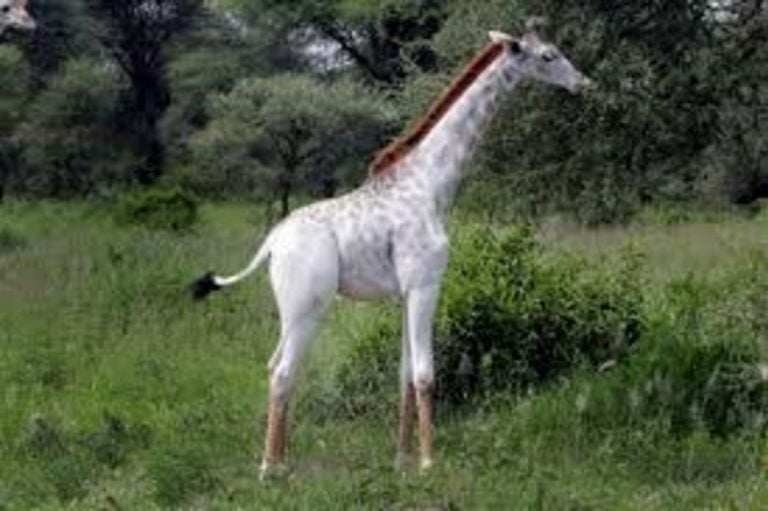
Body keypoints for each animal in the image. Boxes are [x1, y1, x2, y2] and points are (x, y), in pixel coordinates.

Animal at [193, 23, 591, 478]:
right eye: (548, 56)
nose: (583, 83)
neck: (431, 184)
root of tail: (272, 243)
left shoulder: (405, 292)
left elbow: (402, 374)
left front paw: (401, 458)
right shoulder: (425, 284)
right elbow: (425, 374)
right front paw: (428, 463)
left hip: (292, 309)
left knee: (275, 367)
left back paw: (282, 462)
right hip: (307, 304)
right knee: (283, 371)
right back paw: (268, 470)